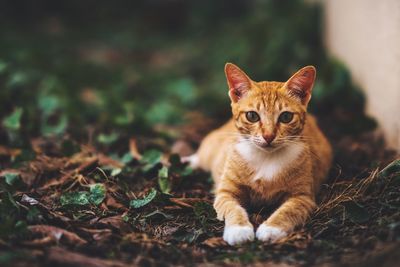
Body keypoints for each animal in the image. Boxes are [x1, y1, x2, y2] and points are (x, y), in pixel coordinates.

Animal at [186, 63, 332, 247]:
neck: (266, 158)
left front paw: (271, 228)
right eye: (252, 116)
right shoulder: (226, 192)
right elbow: (232, 207)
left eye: (286, 116)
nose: (268, 136)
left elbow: (289, 210)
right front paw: (238, 229)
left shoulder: (303, 197)